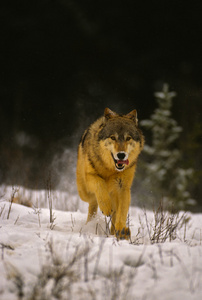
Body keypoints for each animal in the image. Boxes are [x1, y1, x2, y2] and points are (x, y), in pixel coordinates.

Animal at [76, 108, 144, 239]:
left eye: (128, 138)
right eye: (113, 137)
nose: (121, 155)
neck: (110, 169)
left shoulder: (123, 188)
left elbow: (122, 212)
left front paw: (121, 230)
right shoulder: (91, 177)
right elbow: (100, 184)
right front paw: (106, 207)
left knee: (115, 212)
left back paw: (117, 232)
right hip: (84, 192)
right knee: (93, 202)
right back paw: (92, 221)